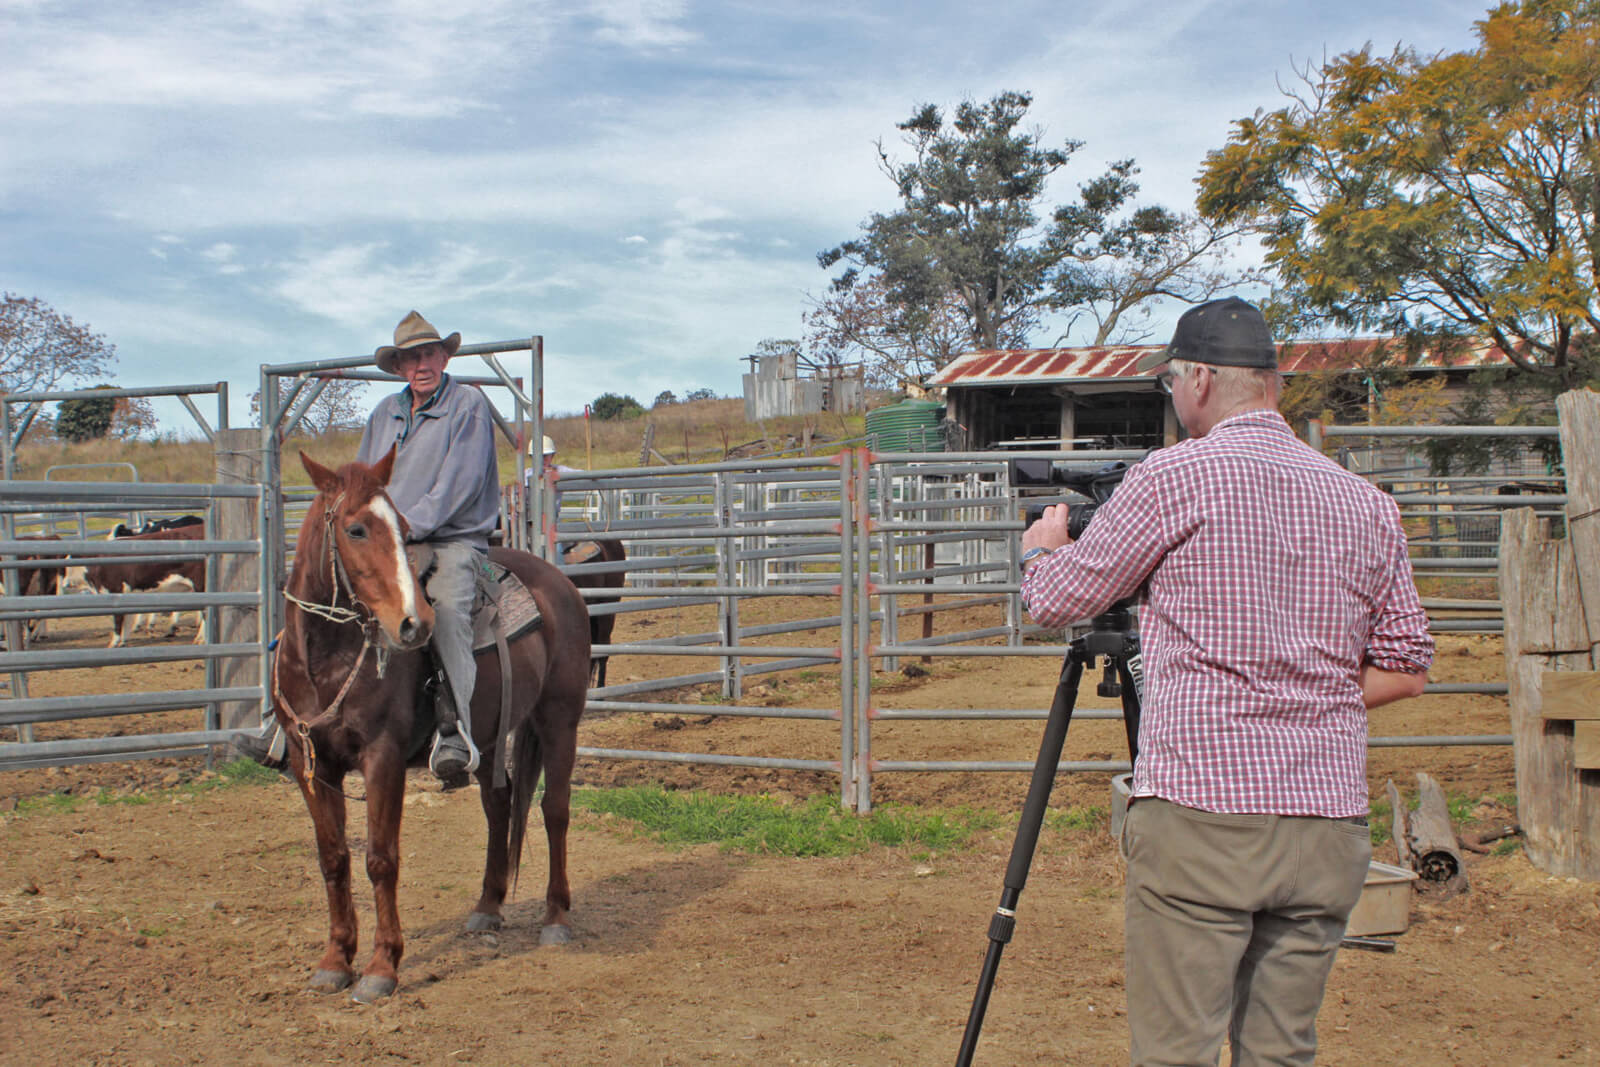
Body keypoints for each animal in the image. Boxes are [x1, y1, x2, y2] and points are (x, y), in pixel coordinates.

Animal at [272, 447, 592, 1004]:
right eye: (356, 529)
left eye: (404, 529)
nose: (413, 624)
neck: (324, 661)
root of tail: (559, 584)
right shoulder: (309, 762)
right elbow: (334, 857)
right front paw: (335, 960)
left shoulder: (382, 758)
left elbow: (381, 858)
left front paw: (381, 966)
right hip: (486, 733)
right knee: (499, 807)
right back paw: (487, 907)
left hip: (559, 721)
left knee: (554, 811)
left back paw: (556, 917)